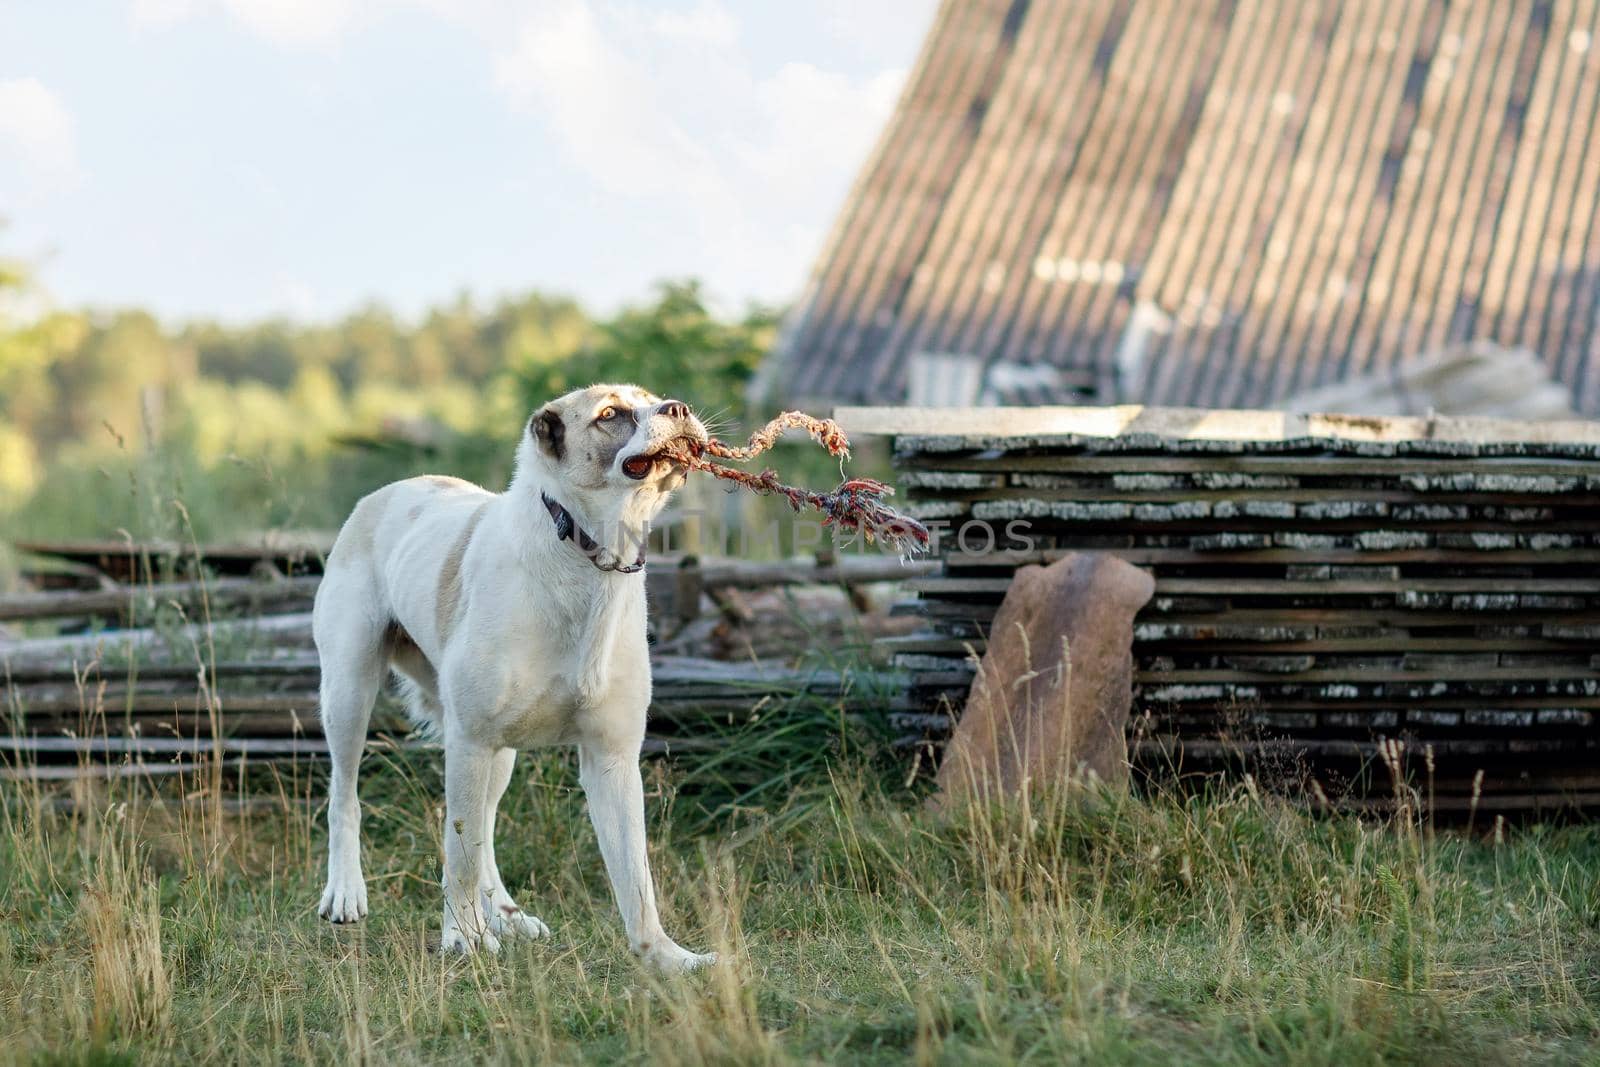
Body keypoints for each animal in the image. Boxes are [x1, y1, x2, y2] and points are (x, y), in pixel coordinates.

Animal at [313, 385, 713, 979]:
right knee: (346, 796)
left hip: (498, 755)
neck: (586, 555)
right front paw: (462, 939)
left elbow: (636, 879)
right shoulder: (469, 741)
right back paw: (346, 894)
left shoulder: (612, 760)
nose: (680, 408)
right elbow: (458, 856)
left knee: (485, 830)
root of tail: (391, 491)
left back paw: (505, 914)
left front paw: (666, 958)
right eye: (611, 414)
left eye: (654, 398)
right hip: (349, 693)